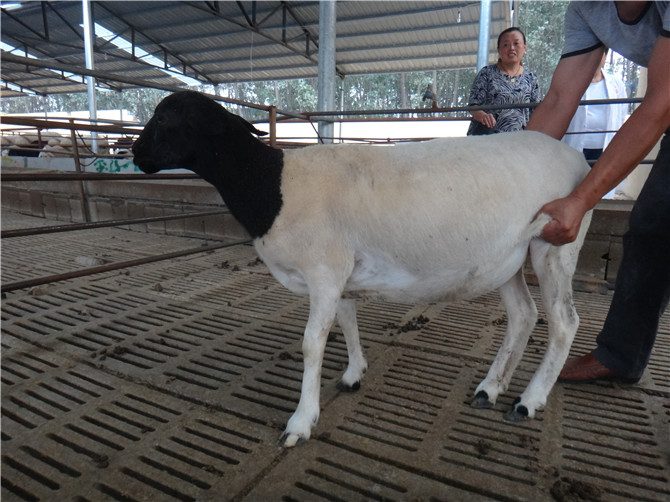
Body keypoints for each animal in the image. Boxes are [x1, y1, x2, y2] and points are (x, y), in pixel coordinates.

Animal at [131, 92, 592, 450]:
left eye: (165, 116)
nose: (135, 153)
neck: (273, 186)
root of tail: (576, 158)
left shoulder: (323, 270)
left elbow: (312, 344)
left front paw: (301, 422)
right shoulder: (340, 273)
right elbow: (347, 320)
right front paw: (353, 375)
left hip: (556, 244)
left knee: (564, 323)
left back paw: (528, 400)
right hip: (507, 258)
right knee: (523, 316)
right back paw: (490, 388)